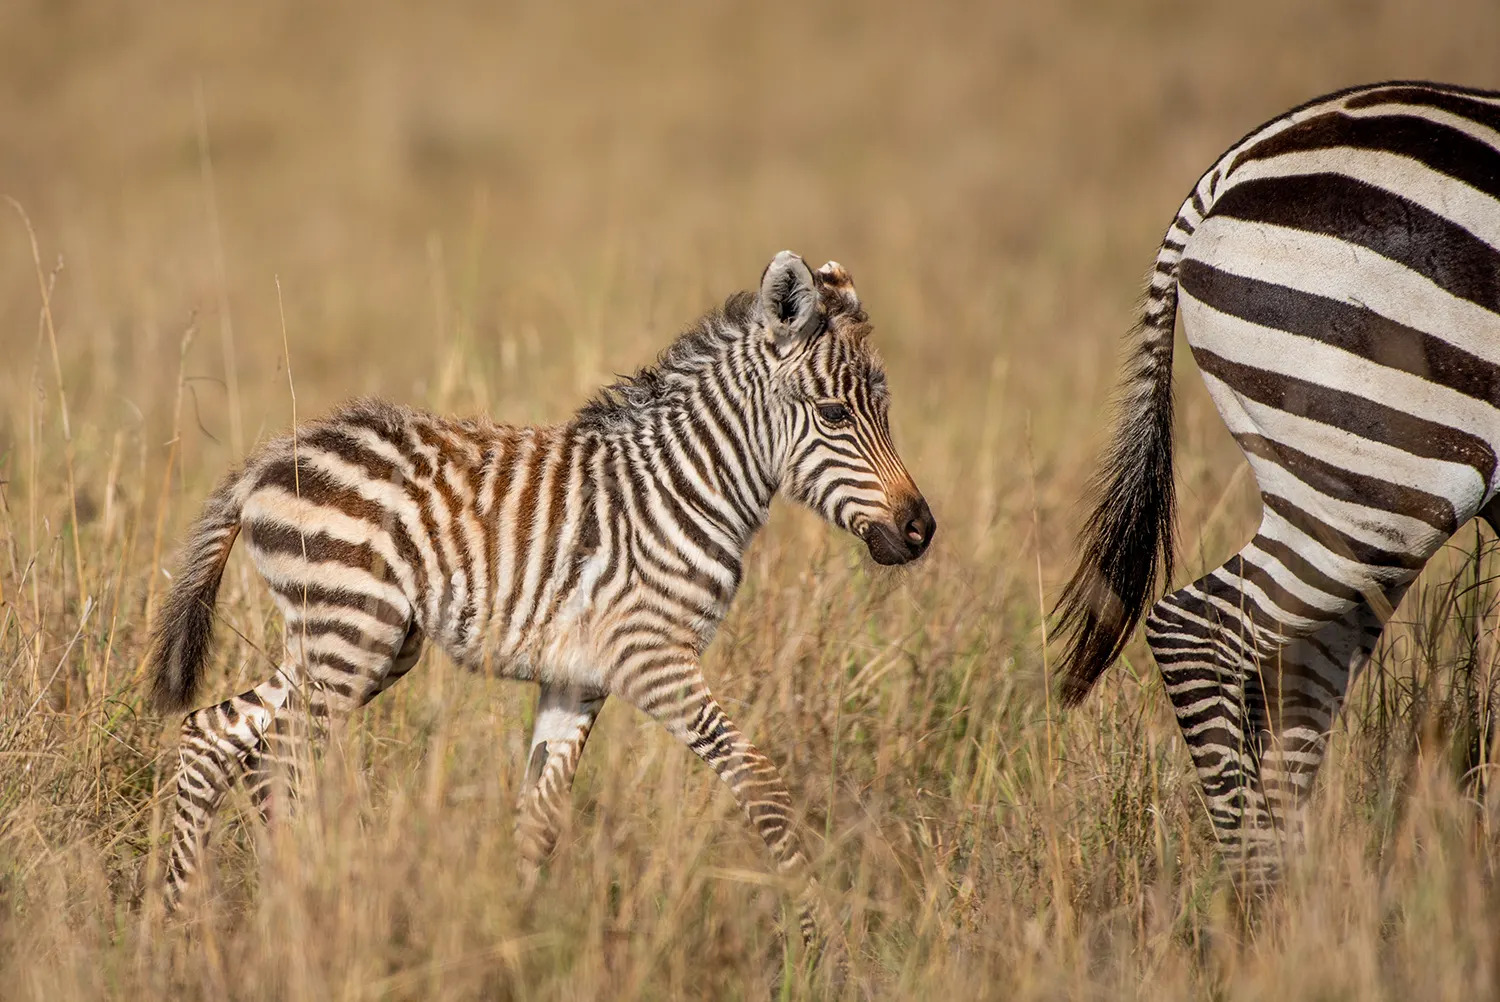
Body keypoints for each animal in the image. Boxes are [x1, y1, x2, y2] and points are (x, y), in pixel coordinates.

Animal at [146, 249, 930, 954]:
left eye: (886, 412)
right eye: (832, 414)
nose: (921, 531)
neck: (687, 487)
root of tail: (271, 457)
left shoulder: (578, 676)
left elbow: (541, 815)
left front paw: (520, 942)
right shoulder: (653, 659)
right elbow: (759, 782)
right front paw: (825, 945)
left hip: (354, 639)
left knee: (216, 734)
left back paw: (181, 927)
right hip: (350, 629)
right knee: (279, 762)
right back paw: (292, 918)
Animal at [1050, 80, 1500, 876]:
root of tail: (1235, 164)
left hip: (1348, 485)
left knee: (1290, 684)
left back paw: (1293, 899)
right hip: (1386, 472)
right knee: (1199, 631)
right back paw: (1256, 891)